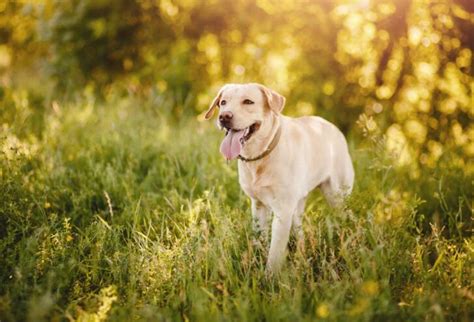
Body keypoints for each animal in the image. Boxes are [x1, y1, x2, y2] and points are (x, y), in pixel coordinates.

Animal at [206, 83, 354, 274]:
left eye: (248, 102)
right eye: (223, 102)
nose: (224, 116)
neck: (261, 156)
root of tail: (332, 126)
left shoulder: (283, 211)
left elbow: (275, 252)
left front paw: (269, 277)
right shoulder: (259, 205)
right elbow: (259, 238)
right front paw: (256, 261)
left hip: (337, 196)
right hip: (298, 204)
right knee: (299, 230)